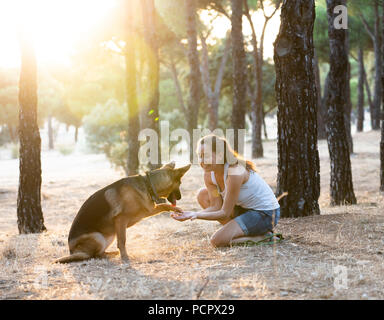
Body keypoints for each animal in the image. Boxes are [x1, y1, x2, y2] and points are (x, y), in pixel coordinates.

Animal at [55, 161, 190, 264]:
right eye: (180, 183)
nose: (180, 198)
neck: (148, 185)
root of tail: (72, 251)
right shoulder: (121, 220)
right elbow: (122, 241)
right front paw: (125, 258)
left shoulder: (149, 210)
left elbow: (163, 205)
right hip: (99, 237)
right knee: (93, 255)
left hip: (110, 235)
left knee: (99, 253)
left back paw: (112, 253)